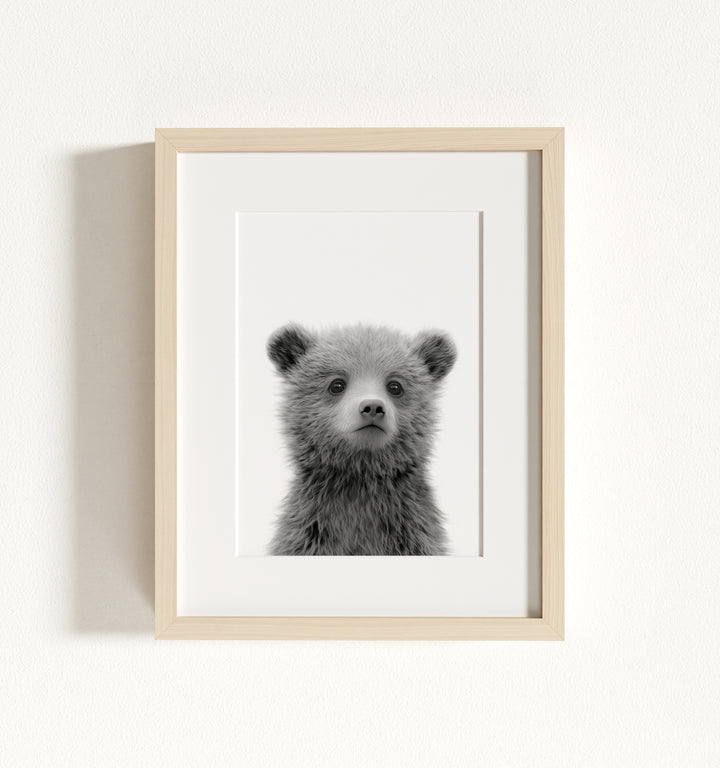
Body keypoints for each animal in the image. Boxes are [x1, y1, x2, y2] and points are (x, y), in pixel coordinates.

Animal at [266, 323, 456, 556]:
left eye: (395, 386)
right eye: (337, 384)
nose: (372, 407)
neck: (360, 477)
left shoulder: (411, 532)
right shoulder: (310, 532)